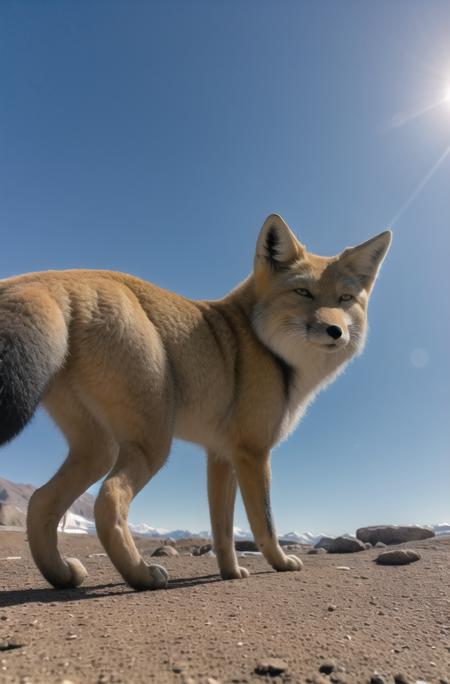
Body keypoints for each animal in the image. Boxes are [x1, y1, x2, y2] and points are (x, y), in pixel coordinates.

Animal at [0, 216, 390, 592]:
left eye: (344, 299)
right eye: (303, 292)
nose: (335, 332)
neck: (264, 345)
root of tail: (53, 277)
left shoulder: (220, 455)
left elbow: (222, 530)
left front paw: (230, 573)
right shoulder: (253, 453)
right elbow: (263, 523)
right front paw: (280, 564)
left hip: (99, 451)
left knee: (40, 501)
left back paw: (61, 575)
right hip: (152, 444)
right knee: (108, 501)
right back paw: (141, 576)